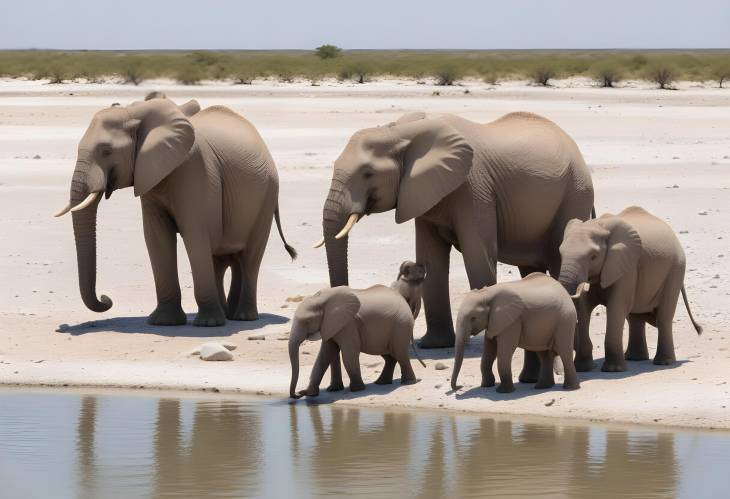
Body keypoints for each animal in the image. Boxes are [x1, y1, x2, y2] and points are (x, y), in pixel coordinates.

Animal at [54, 98, 296, 328]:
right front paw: (164, 322)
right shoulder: (151, 176)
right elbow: (156, 237)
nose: (106, 299)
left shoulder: (194, 170)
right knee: (224, 258)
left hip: (267, 195)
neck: (137, 112)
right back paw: (229, 315)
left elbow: (195, 234)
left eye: (106, 151)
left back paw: (242, 317)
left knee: (250, 256)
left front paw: (208, 324)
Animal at [288, 286, 418, 398]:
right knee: (389, 356)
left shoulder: (348, 324)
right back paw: (381, 382)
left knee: (400, 353)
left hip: (401, 324)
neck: (320, 299)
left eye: (307, 321)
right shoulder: (331, 324)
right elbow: (324, 355)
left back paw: (408, 382)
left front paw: (357, 390)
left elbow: (348, 354)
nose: (297, 394)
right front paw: (310, 394)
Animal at [312, 110, 592, 382]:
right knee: (530, 268)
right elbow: (430, 259)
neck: (401, 133)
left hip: (574, 192)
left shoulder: (474, 188)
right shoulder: (423, 193)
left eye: (368, 173)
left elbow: (478, 255)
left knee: (556, 257)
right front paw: (434, 345)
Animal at [450, 274, 580, 394]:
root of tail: (564, 291)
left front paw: (503, 392)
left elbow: (505, 351)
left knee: (564, 351)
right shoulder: (494, 322)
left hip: (565, 319)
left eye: (473, 318)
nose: (459, 387)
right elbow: (489, 351)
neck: (487, 294)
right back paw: (542, 387)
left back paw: (570, 388)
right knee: (544, 355)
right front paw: (486, 386)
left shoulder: (512, 322)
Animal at [556, 205, 700, 374]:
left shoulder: (626, 267)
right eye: (560, 253)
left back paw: (664, 362)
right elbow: (583, 308)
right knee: (635, 318)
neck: (598, 225)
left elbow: (616, 307)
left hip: (676, 268)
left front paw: (613, 370)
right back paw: (635, 358)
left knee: (664, 317)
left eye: (593, 256)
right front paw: (583, 369)